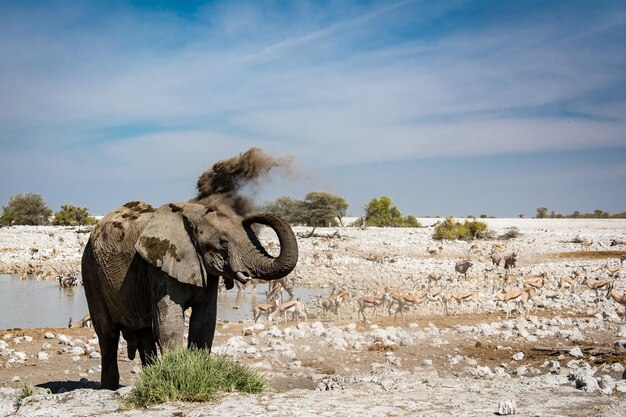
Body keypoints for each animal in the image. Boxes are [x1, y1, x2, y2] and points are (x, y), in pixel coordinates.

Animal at [81, 200, 298, 388]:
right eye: (223, 242)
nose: (251, 216)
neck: (193, 213)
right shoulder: (160, 264)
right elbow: (170, 323)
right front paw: (176, 376)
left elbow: (204, 321)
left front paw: (198, 372)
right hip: (91, 270)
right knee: (108, 335)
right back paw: (109, 388)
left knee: (144, 333)